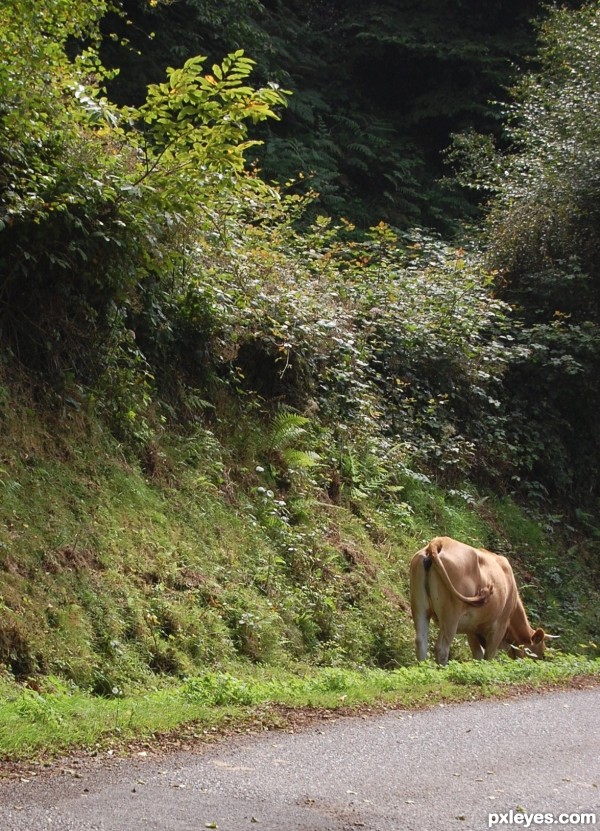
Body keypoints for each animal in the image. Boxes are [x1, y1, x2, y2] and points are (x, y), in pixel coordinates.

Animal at [410, 536, 552, 668]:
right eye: (541, 654)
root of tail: (440, 541)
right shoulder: (499, 627)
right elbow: (488, 657)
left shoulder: (472, 629)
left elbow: (478, 656)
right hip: (451, 615)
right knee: (441, 648)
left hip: (420, 608)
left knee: (421, 641)